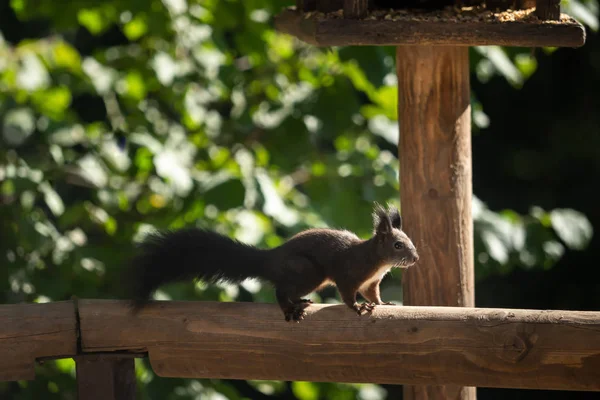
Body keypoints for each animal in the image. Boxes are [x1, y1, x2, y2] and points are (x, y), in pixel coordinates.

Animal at [124, 203, 420, 322]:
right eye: (397, 245)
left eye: (409, 240)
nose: (416, 258)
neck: (376, 261)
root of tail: (270, 259)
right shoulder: (349, 273)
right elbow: (347, 293)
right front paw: (357, 307)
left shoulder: (372, 282)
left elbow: (374, 294)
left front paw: (384, 303)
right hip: (308, 272)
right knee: (280, 290)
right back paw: (290, 308)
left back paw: (300, 302)